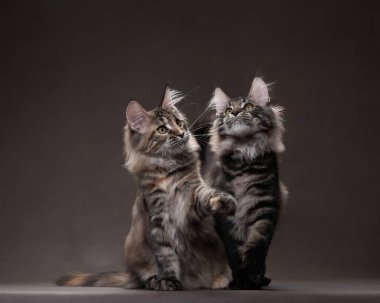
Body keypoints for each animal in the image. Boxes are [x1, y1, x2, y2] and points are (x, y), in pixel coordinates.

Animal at [56, 86, 236, 290]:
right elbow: (167, 256)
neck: (168, 170)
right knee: (143, 277)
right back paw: (153, 281)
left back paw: (220, 281)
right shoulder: (157, 218)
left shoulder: (192, 196)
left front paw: (225, 201)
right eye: (162, 130)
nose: (181, 133)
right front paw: (169, 280)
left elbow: (209, 194)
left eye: (178, 122)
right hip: (133, 248)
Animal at [203, 77, 286, 290]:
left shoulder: (264, 207)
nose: (235, 112)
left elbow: (257, 246)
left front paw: (253, 275)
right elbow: (235, 252)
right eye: (227, 110)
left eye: (248, 107)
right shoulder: (226, 215)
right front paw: (241, 280)